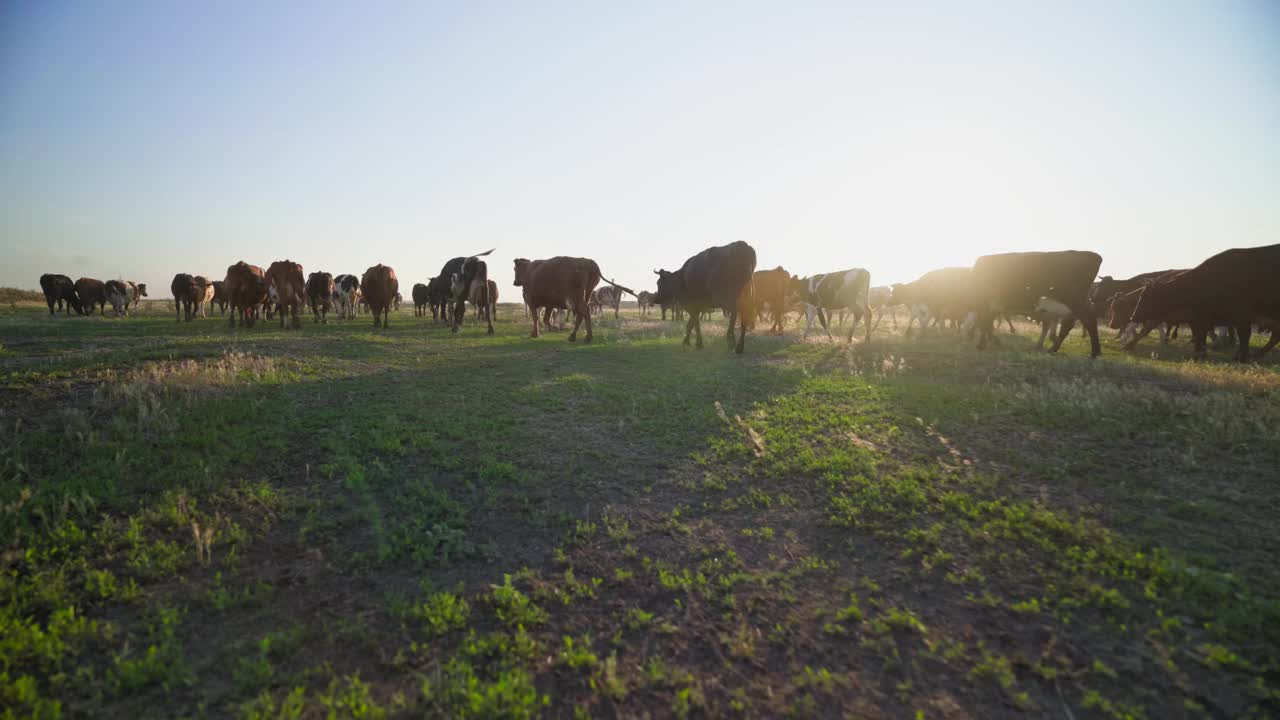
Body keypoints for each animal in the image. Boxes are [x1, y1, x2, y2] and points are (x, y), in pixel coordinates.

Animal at [967, 249, 1100, 356]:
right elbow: (986, 323)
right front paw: (986, 342)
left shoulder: (987, 304)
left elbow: (985, 323)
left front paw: (983, 344)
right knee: (1069, 325)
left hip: (1075, 300)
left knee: (1088, 320)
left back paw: (1093, 353)